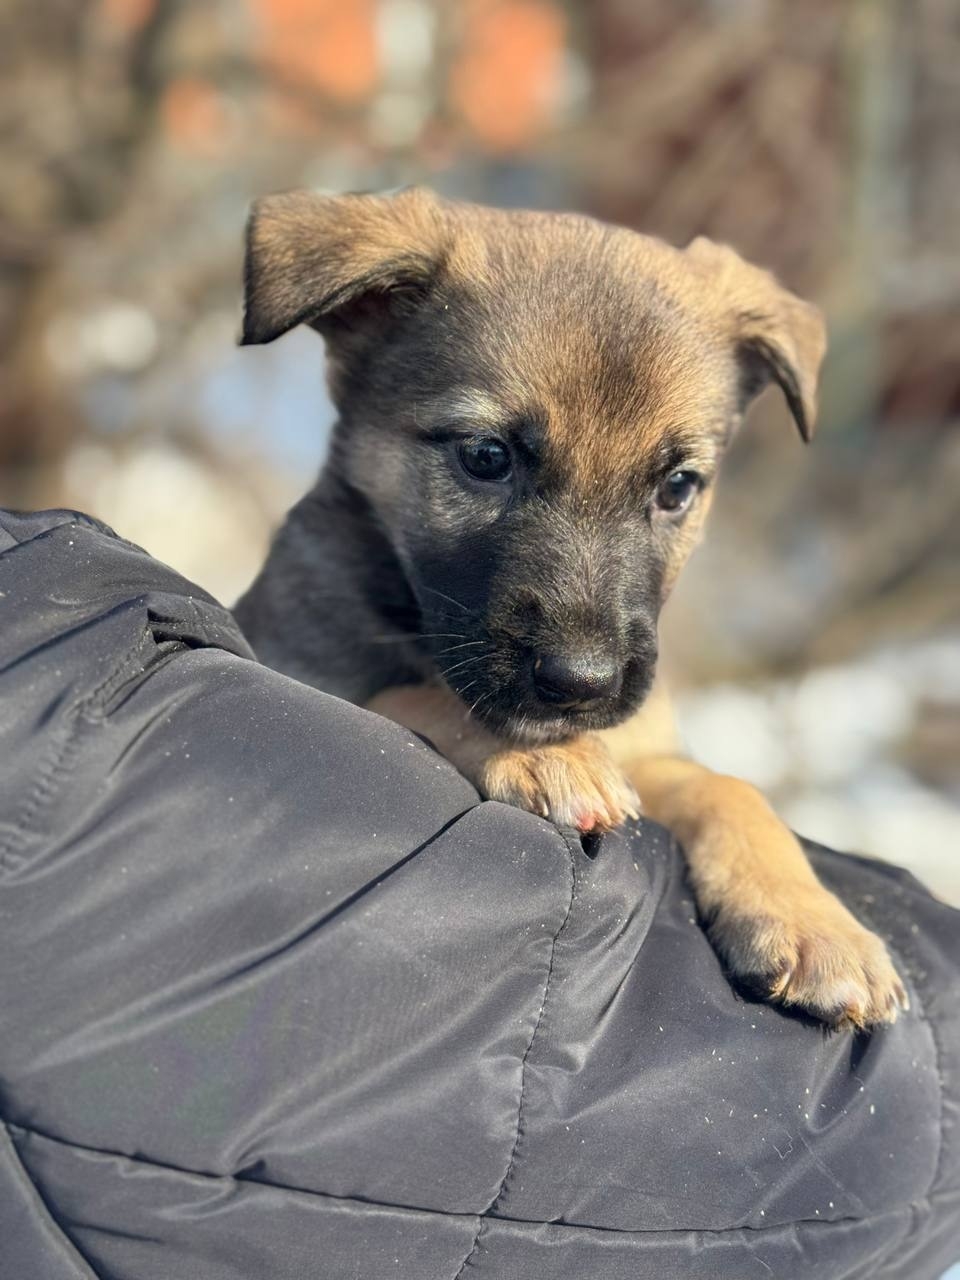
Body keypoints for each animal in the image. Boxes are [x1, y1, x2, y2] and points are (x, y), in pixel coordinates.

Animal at [234, 187, 907, 1029]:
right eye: (486, 456)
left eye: (677, 487)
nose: (582, 685)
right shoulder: (296, 666)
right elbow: (417, 693)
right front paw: (545, 755)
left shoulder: (649, 747)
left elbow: (729, 787)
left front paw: (814, 922)